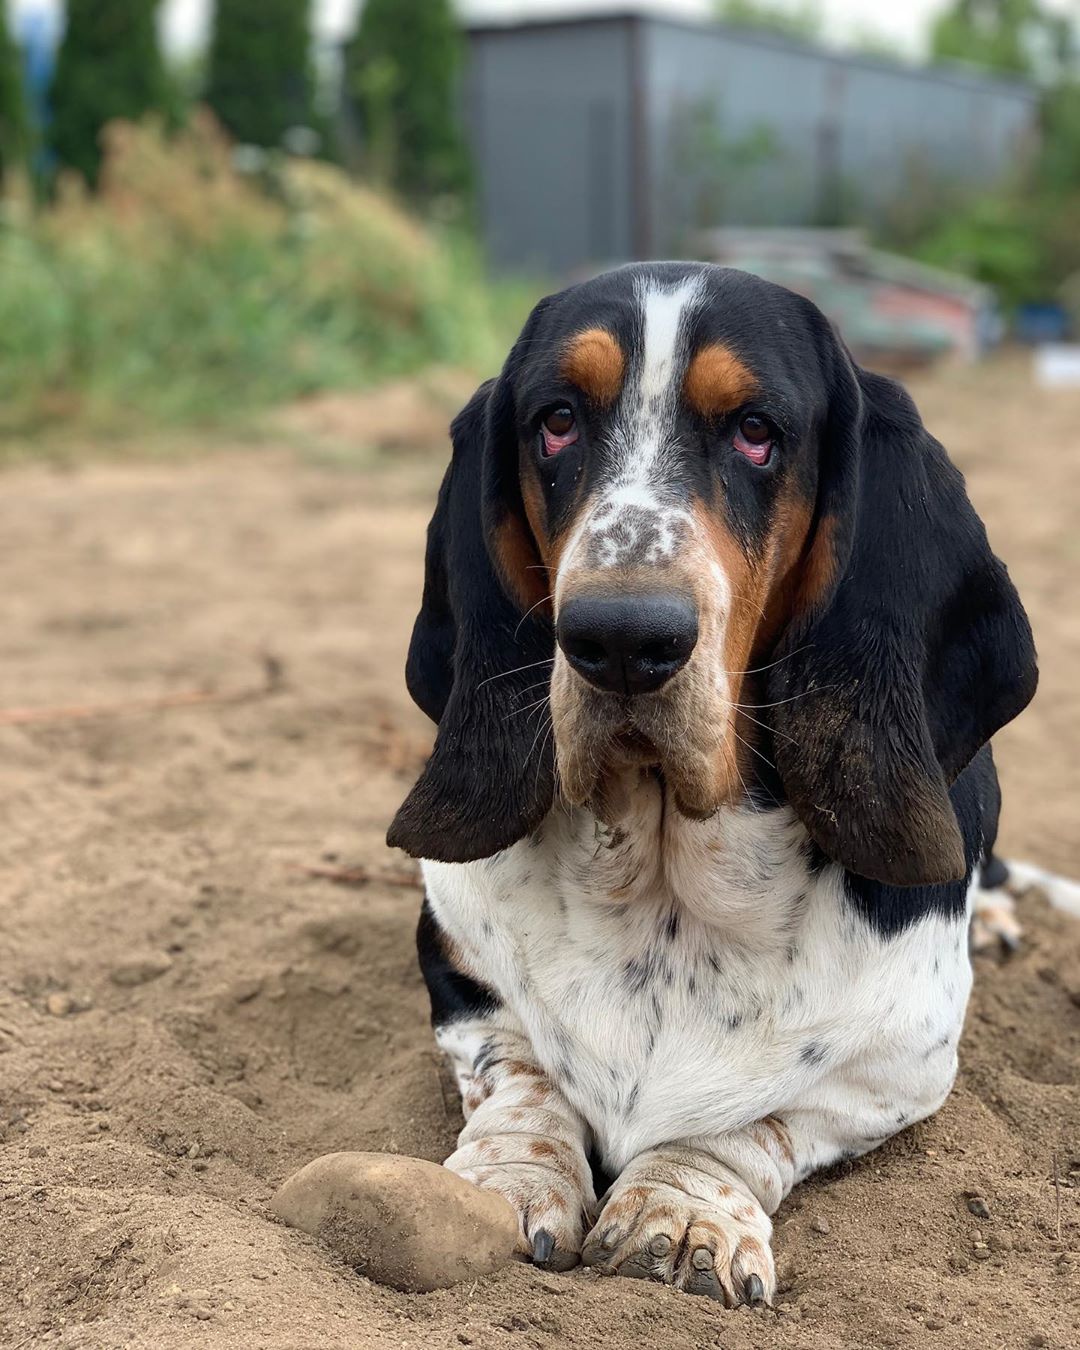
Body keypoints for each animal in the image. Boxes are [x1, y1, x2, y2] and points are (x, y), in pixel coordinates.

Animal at [388, 263, 1036, 1306]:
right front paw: (507, 1181)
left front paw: (682, 1210)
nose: (620, 639)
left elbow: (751, 1118)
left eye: (756, 430)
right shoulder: (457, 966)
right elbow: (520, 1067)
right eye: (556, 420)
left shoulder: (900, 1068)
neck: (664, 881)